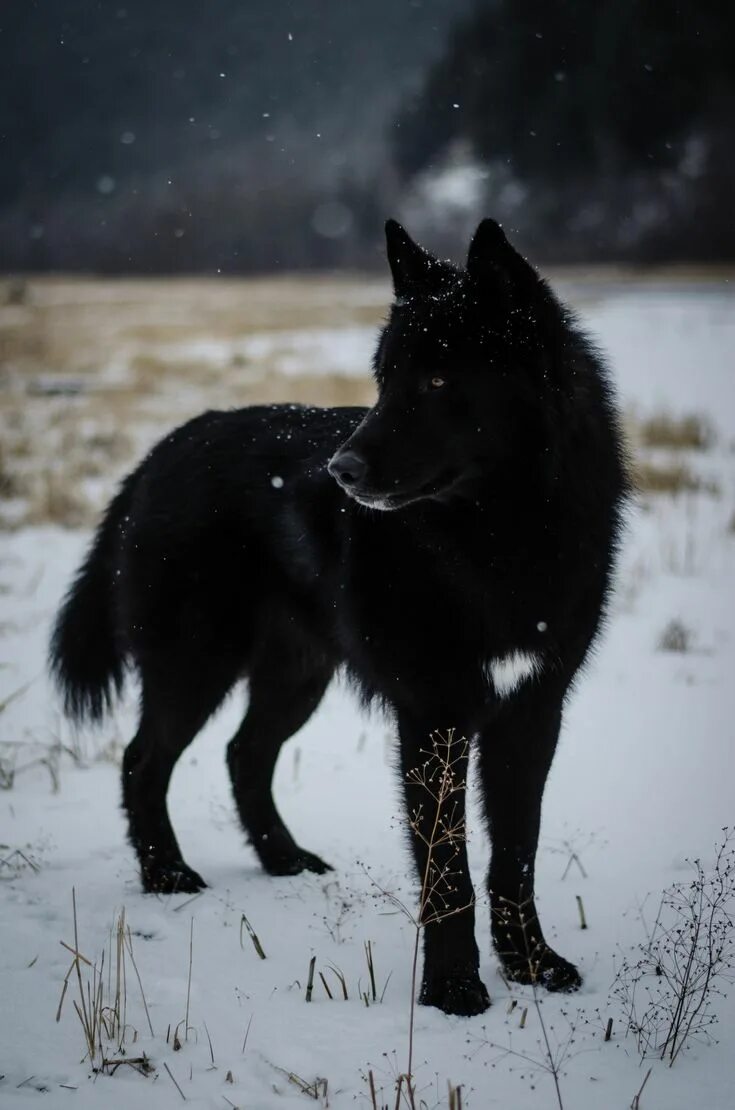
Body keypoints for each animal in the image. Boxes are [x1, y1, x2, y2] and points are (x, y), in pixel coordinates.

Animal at [51, 220, 626, 1016]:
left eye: (438, 382)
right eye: (384, 380)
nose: (340, 474)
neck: (496, 537)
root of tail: (158, 455)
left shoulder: (531, 713)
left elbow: (515, 857)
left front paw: (533, 966)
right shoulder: (434, 716)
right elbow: (448, 867)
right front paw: (454, 990)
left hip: (296, 677)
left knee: (243, 754)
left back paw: (283, 859)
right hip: (196, 666)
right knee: (144, 759)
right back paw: (168, 877)